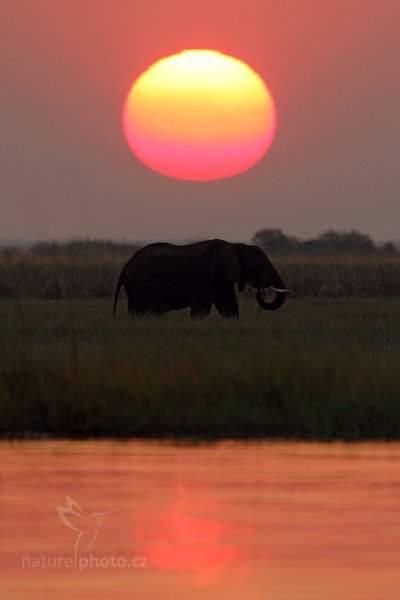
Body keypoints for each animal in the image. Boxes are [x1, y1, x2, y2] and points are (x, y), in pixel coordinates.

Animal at [111, 239, 290, 318]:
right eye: (261, 266)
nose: (260, 289)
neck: (233, 245)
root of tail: (125, 267)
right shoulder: (206, 272)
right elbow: (201, 307)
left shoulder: (222, 277)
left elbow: (229, 305)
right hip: (144, 282)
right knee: (157, 310)